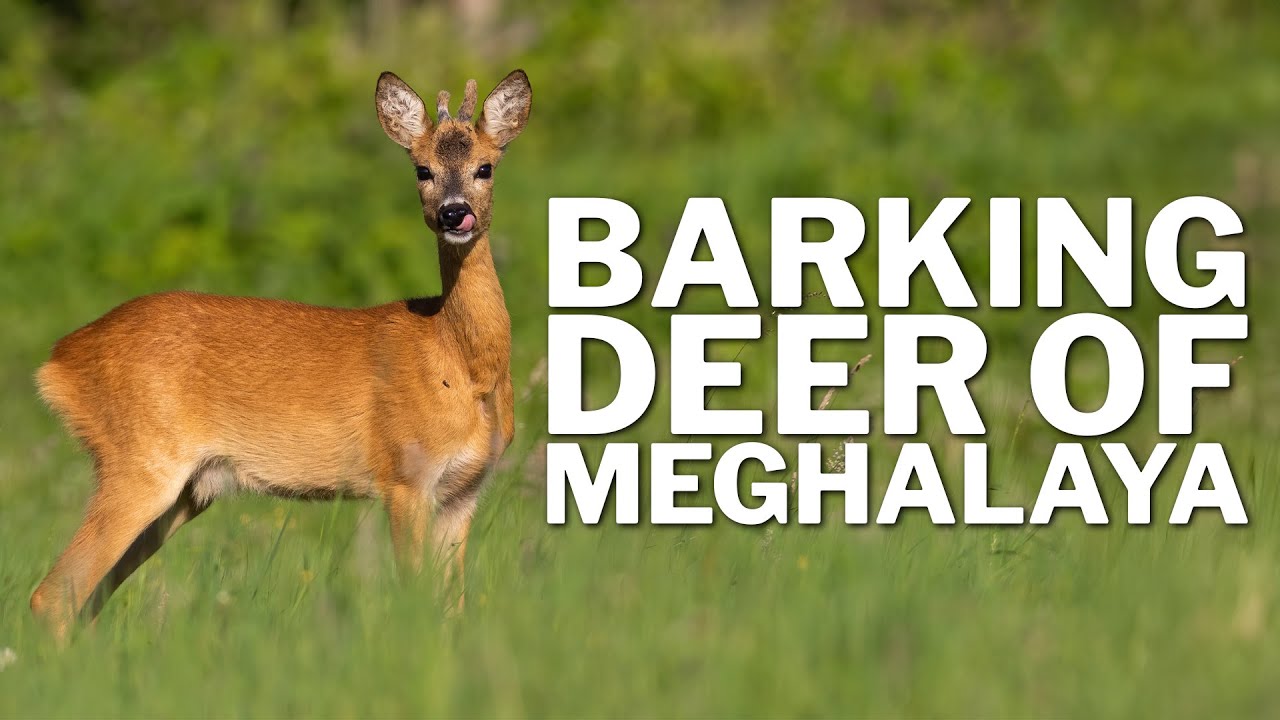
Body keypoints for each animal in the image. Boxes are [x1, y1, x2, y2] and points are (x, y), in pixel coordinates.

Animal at [29, 69, 531, 640]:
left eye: (485, 167)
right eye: (421, 169)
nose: (454, 213)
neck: (462, 364)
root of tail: (58, 361)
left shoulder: (463, 492)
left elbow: (452, 612)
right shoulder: (405, 476)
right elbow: (416, 600)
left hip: (187, 492)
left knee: (87, 599)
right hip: (139, 459)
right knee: (54, 595)